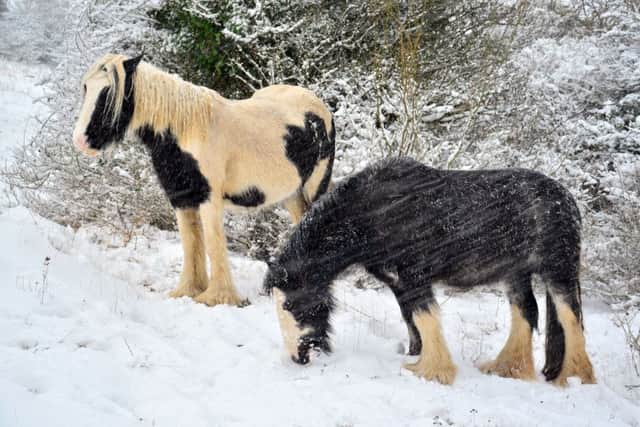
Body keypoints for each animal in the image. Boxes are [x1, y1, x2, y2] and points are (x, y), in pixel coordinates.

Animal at [72, 53, 335, 307]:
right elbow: (191, 243)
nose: (80, 141)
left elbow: (213, 244)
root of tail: (317, 105)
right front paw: (188, 290)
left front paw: (217, 298)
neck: (185, 131)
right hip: (292, 195)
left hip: (314, 188)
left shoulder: (209, 198)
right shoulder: (181, 198)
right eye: (86, 88)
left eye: (108, 94)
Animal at [264, 157, 595, 386]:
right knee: (526, 311)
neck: (370, 215)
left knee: (571, 318)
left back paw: (574, 379)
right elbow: (412, 320)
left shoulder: (414, 277)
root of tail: (567, 200)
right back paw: (508, 369)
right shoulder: (398, 282)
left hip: (558, 270)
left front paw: (432, 372)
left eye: (290, 305)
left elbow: (425, 317)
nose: (297, 357)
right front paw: (417, 357)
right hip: (515, 274)